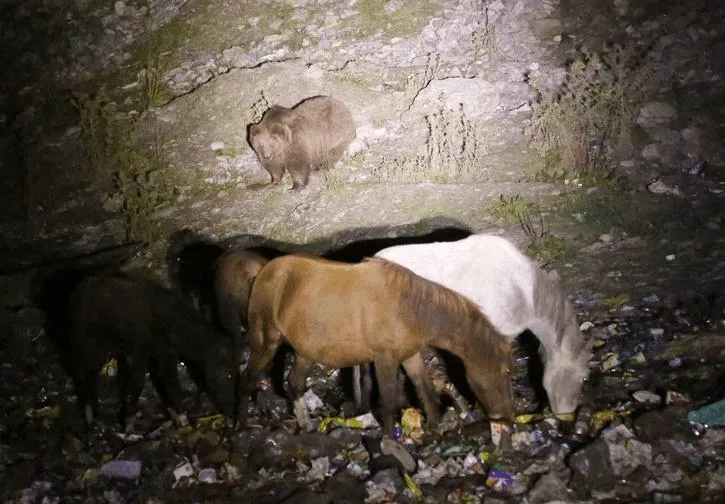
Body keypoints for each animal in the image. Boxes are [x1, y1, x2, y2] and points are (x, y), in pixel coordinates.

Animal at [240, 254, 512, 436]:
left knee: (294, 384)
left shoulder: (410, 355)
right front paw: (389, 440)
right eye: (505, 371)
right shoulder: (385, 359)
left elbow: (424, 388)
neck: (409, 309)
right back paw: (238, 426)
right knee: (248, 377)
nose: (506, 418)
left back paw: (306, 426)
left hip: (305, 353)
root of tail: (264, 271)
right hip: (265, 344)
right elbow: (388, 398)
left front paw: (435, 428)